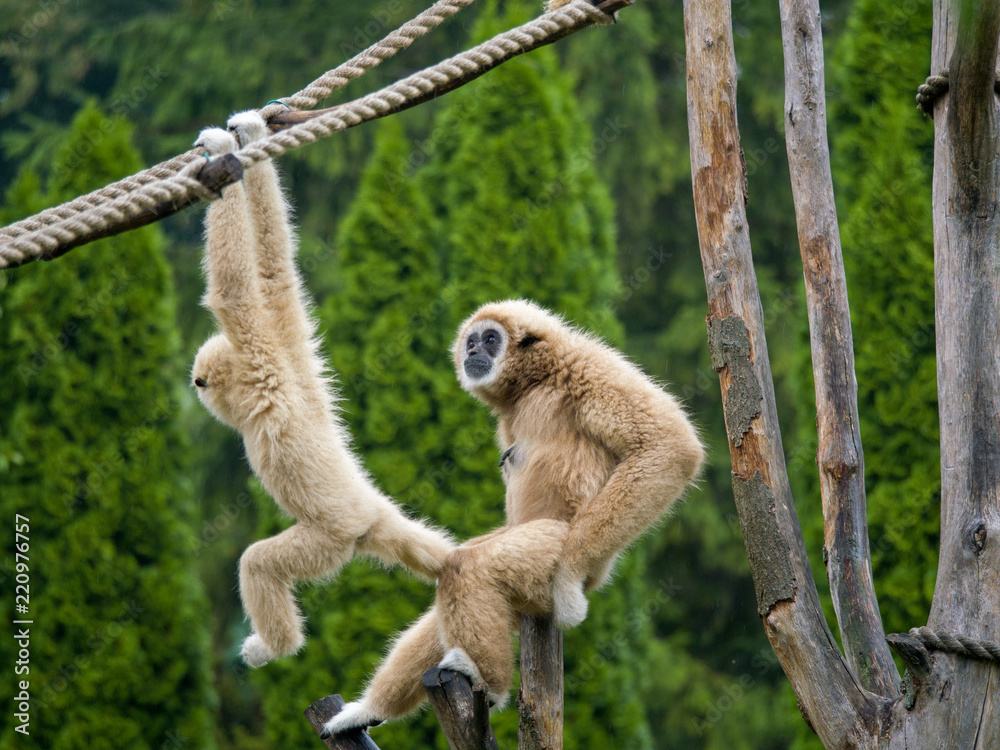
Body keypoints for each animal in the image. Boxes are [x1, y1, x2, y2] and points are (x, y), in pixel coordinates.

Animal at [191, 111, 454, 668]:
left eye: (202, 382)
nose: (194, 385)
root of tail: (367, 510)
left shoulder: (262, 355)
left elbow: (235, 292)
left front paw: (223, 159)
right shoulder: (289, 349)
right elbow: (274, 276)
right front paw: (249, 137)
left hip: (331, 541)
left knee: (258, 563)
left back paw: (271, 648)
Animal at [322, 299, 704, 736]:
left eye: (491, 339)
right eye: (472, 341)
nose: (473, 350)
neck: (535, 382)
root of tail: (602, 569)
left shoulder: (588, 366)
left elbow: (670, 445)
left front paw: (568, 581)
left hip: (560, 544)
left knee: (471, 565)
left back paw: (487, 681)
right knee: (456, 570)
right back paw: (372, 708)